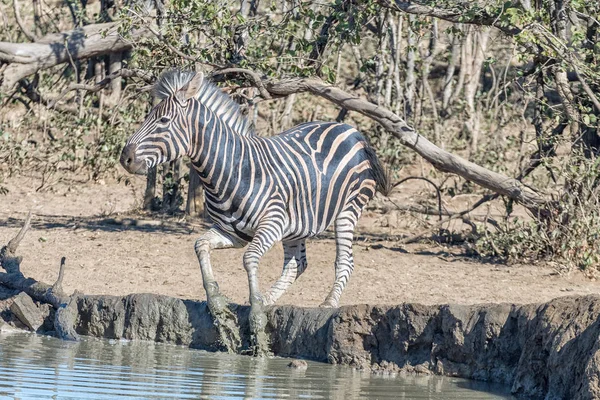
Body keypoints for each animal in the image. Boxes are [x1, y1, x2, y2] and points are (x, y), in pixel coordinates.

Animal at [120, 70, 390, 352]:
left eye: (163, 120)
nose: (125, 157)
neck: (230, 169)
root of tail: (350, 130)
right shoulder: (232, 232)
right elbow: (200, 245)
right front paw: (219, 306)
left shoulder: (272, 224)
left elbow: (249, 258)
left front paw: (256, 320)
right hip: (297, 225)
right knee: (297, 265)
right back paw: (267, 299)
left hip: (348, 209)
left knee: (344, 260)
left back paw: (327, 302)